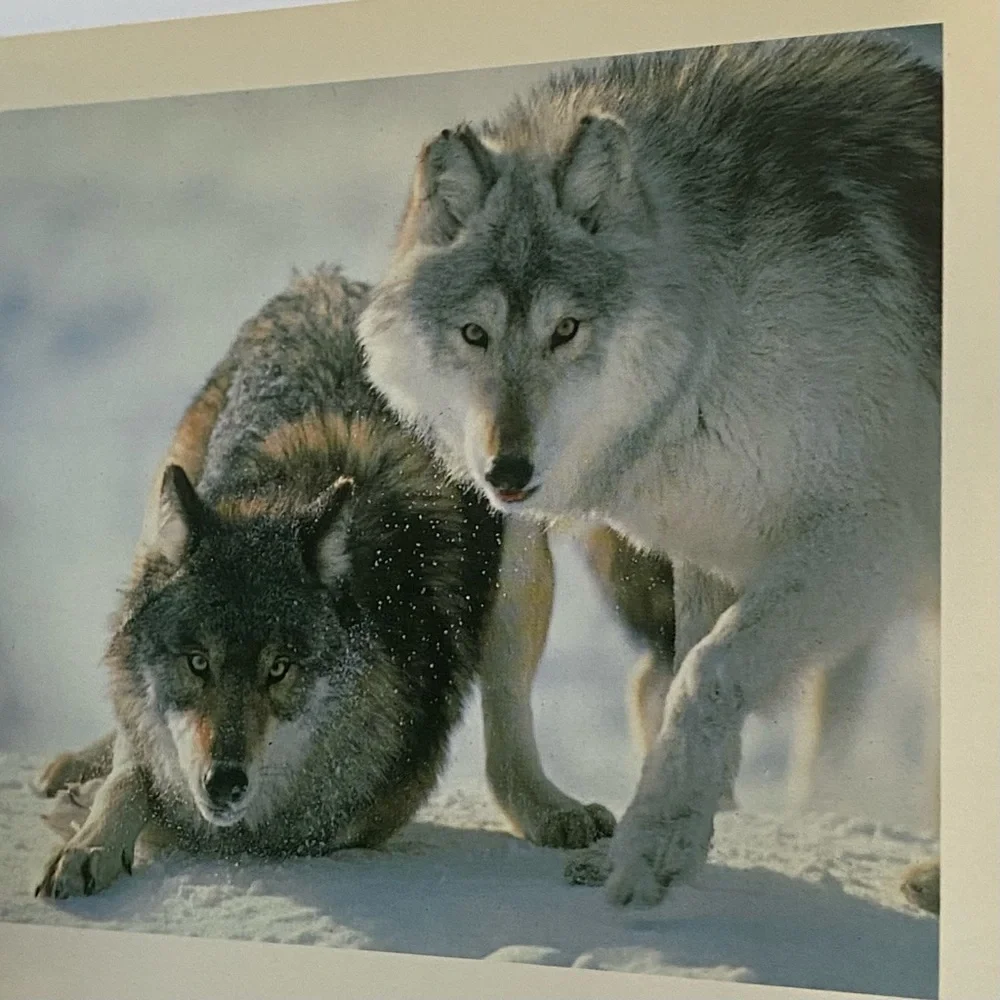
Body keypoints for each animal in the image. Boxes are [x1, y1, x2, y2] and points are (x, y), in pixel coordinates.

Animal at [35, 266, 685, 898]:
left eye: (279, 669)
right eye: (198, 662)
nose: (224, 782)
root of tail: (333, 282)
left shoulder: (349, 820)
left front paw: (97, 817)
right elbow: (135, 770)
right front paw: (91, 837)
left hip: (517, 554)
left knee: (508, 722)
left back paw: (551, 811)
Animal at [356, 35, 943, 913]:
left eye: (566, 329)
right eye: (474, 334)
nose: (507, 469)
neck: (729, 323)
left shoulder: (868, 541)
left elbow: (707, 673)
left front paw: (656, 845)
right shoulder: (712, 541)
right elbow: (679, 687)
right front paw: (675, 833)